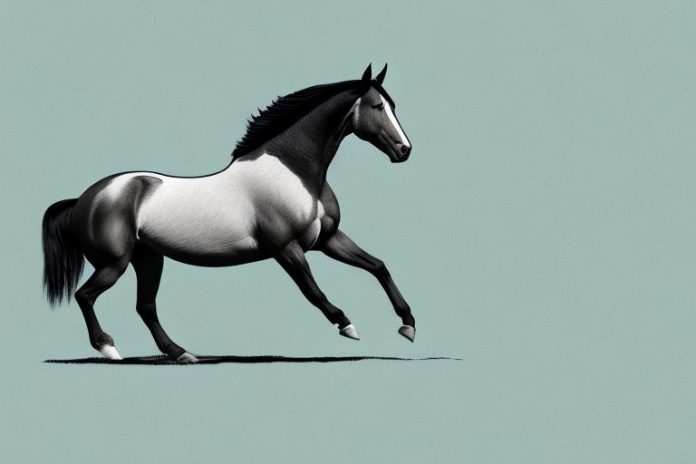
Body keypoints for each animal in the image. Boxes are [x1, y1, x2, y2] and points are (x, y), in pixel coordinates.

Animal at [42, 64, 415, 363]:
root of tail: (84, 198)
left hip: (148, 257)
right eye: (377, 106)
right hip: (114, 262)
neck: (295, 172)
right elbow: (314, 293)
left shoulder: (328, 239)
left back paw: (182, 354)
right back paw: (109, 348)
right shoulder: (286, 249)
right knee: (85, 296)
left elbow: (378, 266)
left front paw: (408, 325)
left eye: (394, 105)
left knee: (145, 307)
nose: (404, 150)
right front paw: (347, 326)